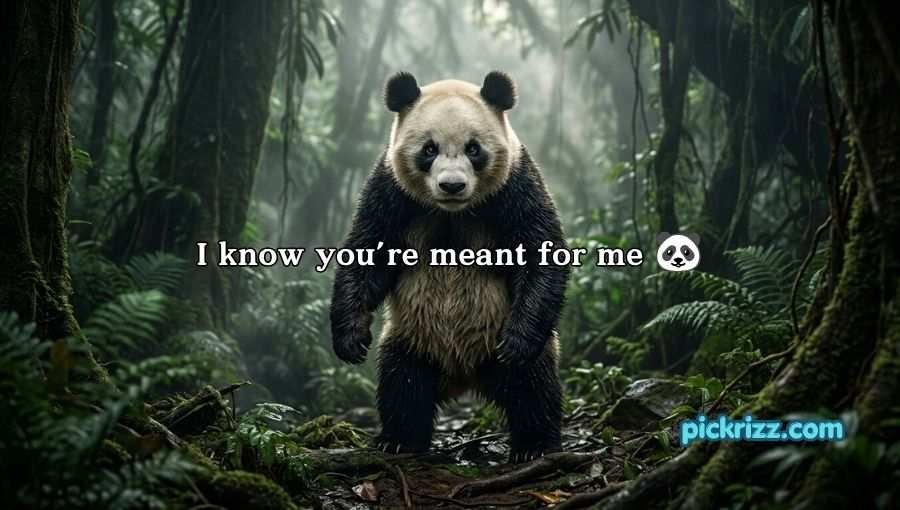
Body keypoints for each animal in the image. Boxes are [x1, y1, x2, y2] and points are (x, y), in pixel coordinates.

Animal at [330, 71, 570, 463]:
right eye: (429, 149)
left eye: (474, 149)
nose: (452, 185)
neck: (453, 212)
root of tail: (463, 375)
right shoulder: (391, 191)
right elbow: (367, 252)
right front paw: (351, 340)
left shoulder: (515, 186)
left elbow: (541, 251)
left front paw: (516, 343)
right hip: (412, 335)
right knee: (402, 383)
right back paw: (401, 439)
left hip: (504, 336)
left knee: (532, 386)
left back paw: (535, 444)